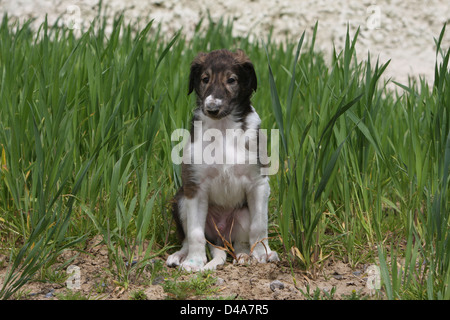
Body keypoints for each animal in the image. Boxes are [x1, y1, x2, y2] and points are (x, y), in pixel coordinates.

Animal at [166, 48, 278, 272]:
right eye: (205, 79)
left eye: (232, 80)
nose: (212, 108)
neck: (223, 128)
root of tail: (220, 235)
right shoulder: (195, 186)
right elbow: (195, 233)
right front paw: (194, 261)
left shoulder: (259, 183)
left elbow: (259, 225)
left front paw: (262, 254)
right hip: (181, 200)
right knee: (188, 239)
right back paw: (179, 256)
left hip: (242, 214)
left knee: (241, 242)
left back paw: (245, 256)